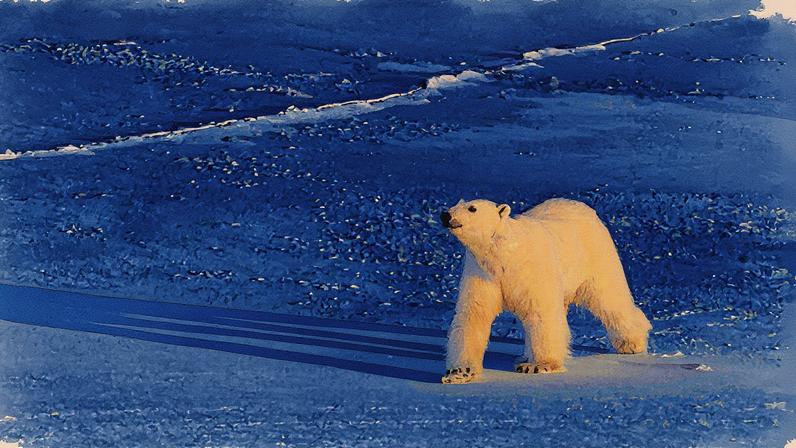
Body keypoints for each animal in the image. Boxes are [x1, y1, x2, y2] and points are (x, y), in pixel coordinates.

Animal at [439, 198, 652, 384]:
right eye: (456, 204)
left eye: (472, 208)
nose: (445, 215)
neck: (504, 255)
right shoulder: (482, 273)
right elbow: (473, 315)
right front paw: (460, 372)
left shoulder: (533, 268)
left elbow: (541, 313)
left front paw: (538, 365)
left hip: (595, 255)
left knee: (610, 297)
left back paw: (632, 344)